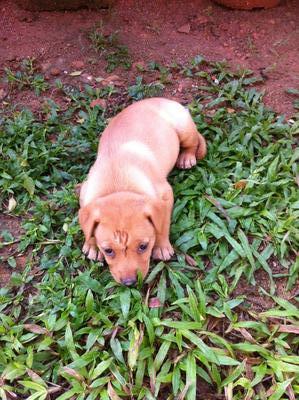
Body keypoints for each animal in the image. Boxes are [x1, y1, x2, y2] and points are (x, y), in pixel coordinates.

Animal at [78, 97, 207, 284]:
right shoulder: (85, 193)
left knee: (193, 142)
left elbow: (162, 225)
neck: (118, 184)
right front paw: (92, 244)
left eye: (143, 247)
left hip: (184, 128)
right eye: (108, 251)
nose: (129, 283)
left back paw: (187, 157)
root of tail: (160, 99)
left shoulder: (165, 196)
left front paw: (161, 246)